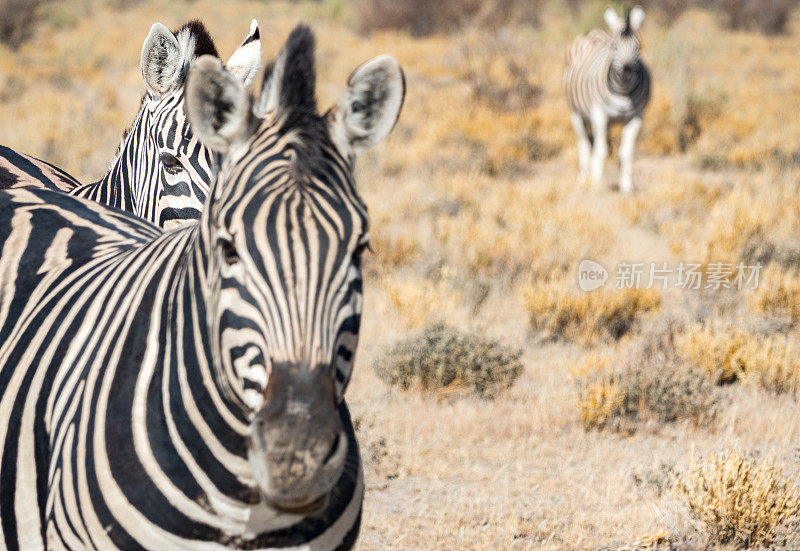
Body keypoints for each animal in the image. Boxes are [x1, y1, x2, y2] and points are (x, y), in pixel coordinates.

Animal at [564, 5, 648, 194]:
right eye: (614, 46)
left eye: (638, 47)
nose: (627, 70)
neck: (623, 93)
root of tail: (594, 32)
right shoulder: (599, 115)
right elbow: (601, 151)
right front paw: (597, 185)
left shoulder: (636, 117)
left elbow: (627, 152)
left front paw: (626, 186)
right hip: (576, 113)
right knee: (584, 144)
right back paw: (584, 178)